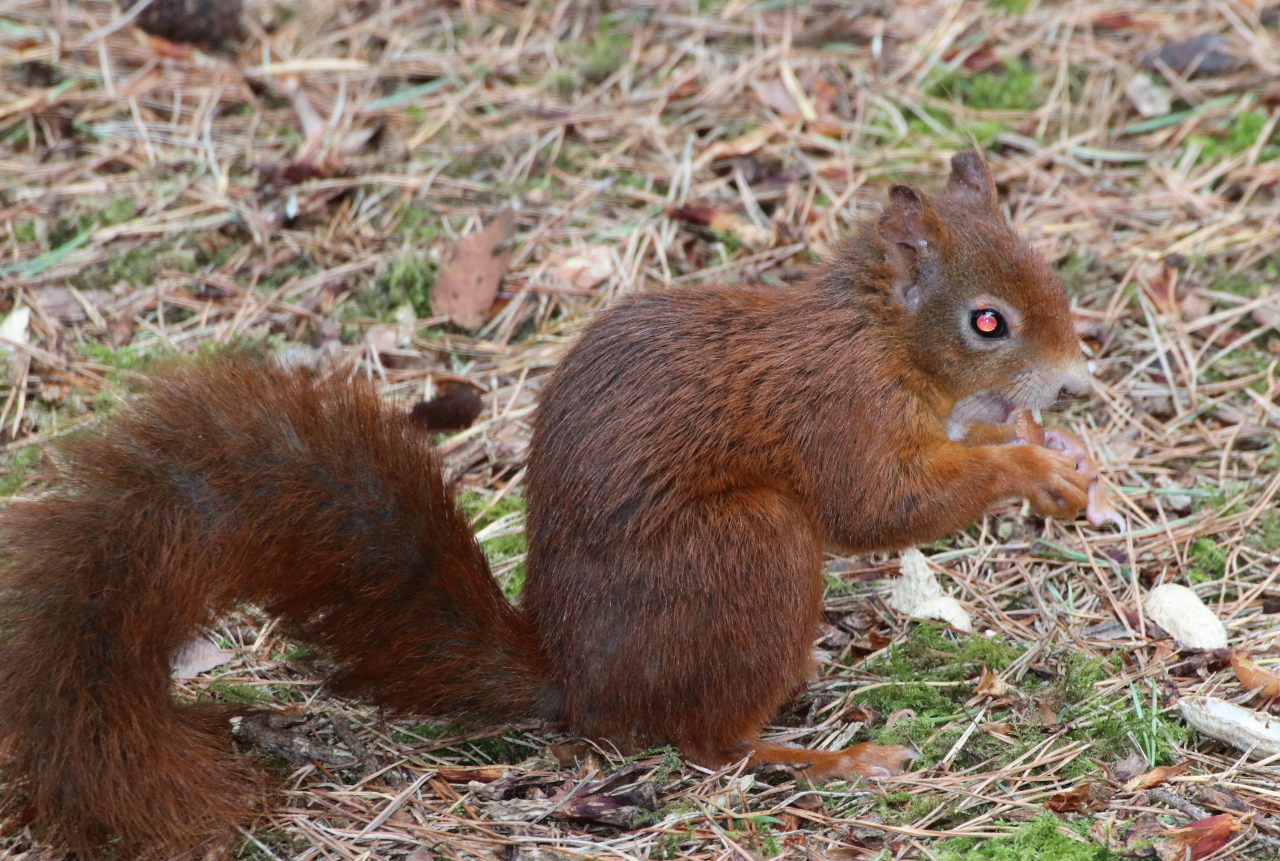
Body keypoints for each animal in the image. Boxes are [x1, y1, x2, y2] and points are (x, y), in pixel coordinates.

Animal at [0, 152, 1093, 859]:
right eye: (986, 322)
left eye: (1054, 278)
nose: (1077, 383)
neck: (880, 341)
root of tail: (576, 682)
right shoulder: (837, 413)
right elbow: (880, 505)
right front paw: (1027, 471)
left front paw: (1057, 454)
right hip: (751, 549)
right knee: (706, 742)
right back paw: (823, 757)